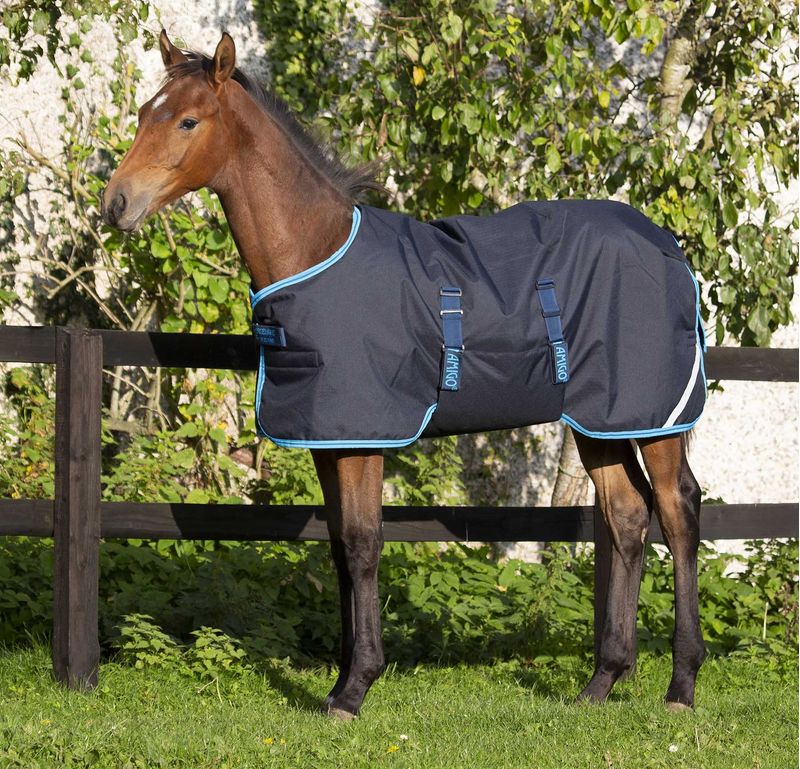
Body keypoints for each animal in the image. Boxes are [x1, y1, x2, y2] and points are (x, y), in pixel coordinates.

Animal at [101, 30, 706, 720]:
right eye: (144, 113)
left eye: (187, 121)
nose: (116, 203)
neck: (316, 252)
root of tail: (668, 244)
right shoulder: (330, 440)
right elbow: (339, 548)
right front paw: (340, 680)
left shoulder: (365, 438)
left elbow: (365, 544)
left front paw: (356, 687)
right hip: (599, 421)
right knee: (627, 517)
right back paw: (602, 682)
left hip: (654, 417)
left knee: (678, 512)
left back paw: (681, 685)